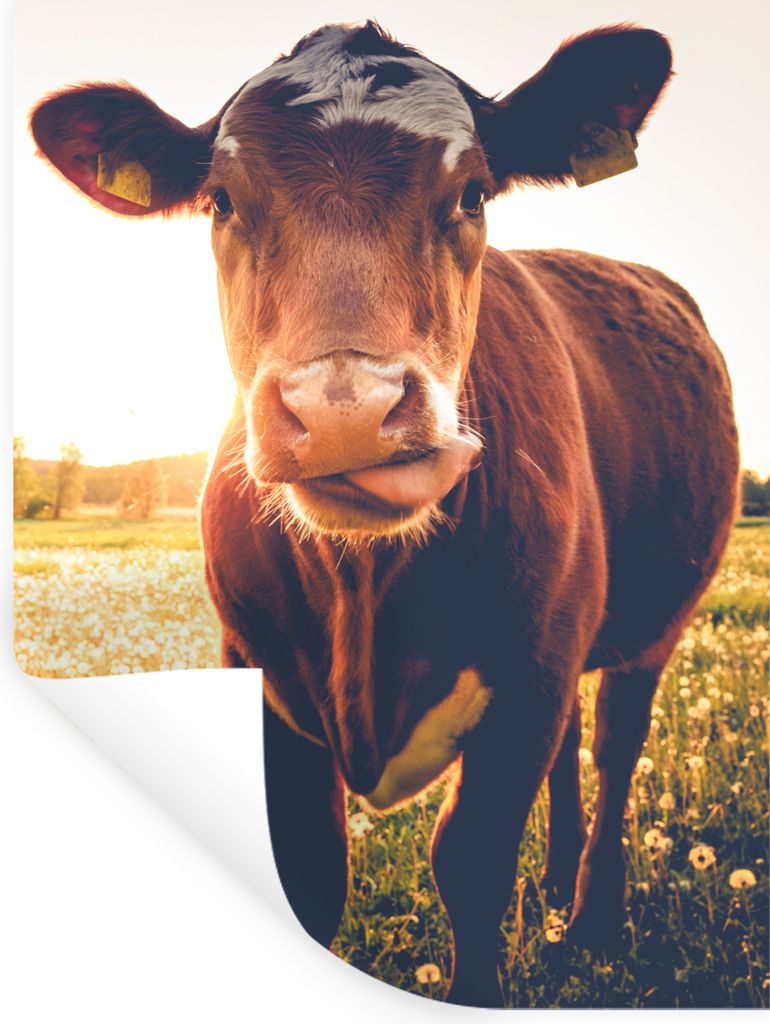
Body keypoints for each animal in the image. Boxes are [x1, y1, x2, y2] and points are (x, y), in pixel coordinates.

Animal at [31, 21, 739, 1007]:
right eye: (221, 200)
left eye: (473, 191)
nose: (345, 409)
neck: (366, 591)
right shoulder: (261, 678)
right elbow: (310, 869)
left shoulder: (527, 681)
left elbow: (470, 863)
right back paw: (556, 892)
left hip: (649, 627)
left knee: (613, 744)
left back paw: (593, 918)